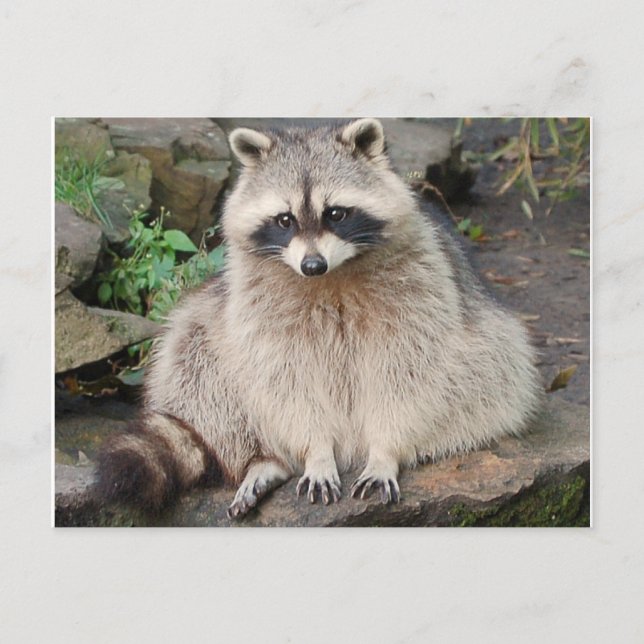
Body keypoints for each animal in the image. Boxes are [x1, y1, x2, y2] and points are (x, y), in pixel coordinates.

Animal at [95, 118, 541, 520]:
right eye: (285, 219)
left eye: (336, 214)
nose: (312, 265)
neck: (331, 276)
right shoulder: (259, 305)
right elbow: (286, 378)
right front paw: (316, 453)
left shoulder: (419, 291)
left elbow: (406, 373)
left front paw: (386, 450)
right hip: (211, 325)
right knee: (195, 356)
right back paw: (264, 459)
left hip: (488, 352)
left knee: (490, 369)